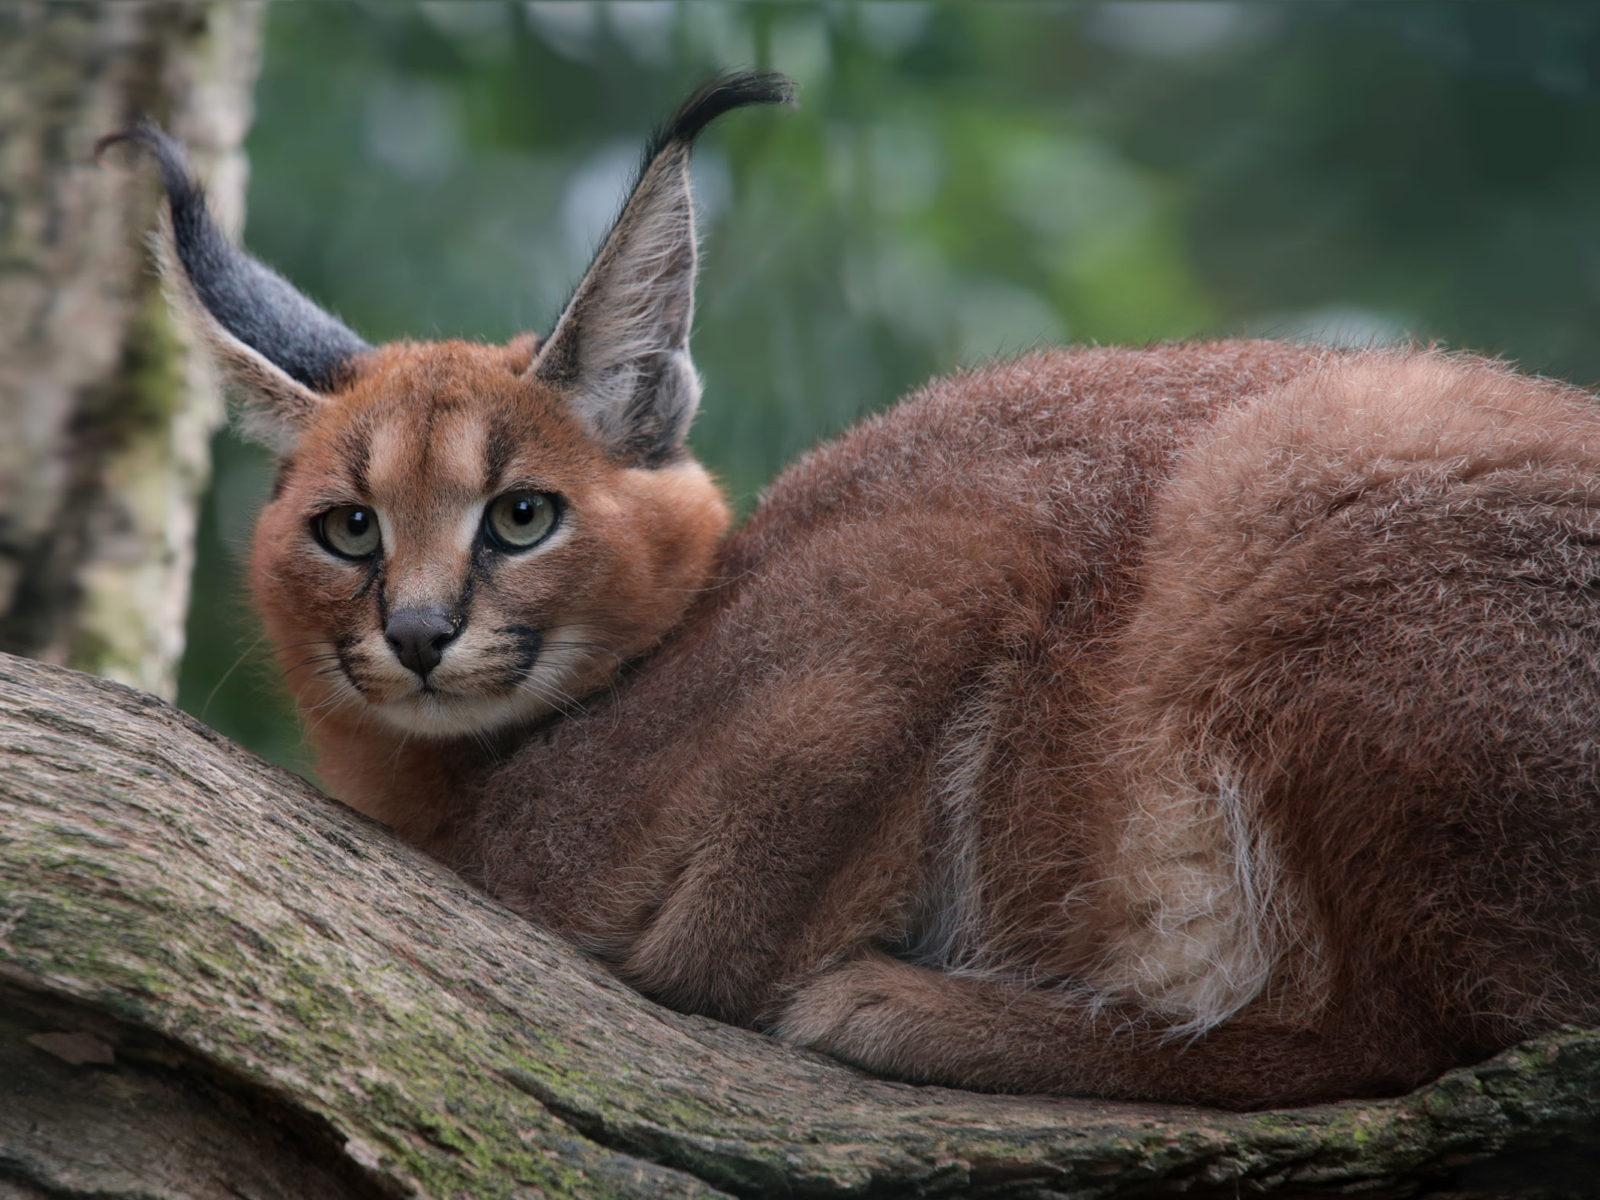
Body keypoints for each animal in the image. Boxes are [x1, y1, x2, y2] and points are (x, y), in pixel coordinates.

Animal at [106, 72, 1593, 1107]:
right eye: (349, 529)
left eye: (522, 517)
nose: (417, 635)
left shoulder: (952, 557)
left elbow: (719, 934)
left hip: (1285, 474)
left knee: (1426, 1029)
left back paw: (918, 1013)